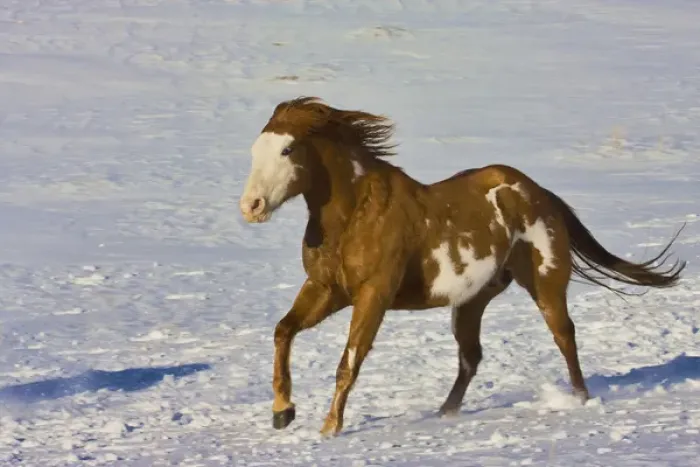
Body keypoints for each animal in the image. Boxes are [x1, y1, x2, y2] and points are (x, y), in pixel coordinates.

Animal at [238, 97, 686, 437]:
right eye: (254, 151)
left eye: (287, 150)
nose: (251, 206)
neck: (355, 216)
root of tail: (539, 193)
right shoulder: (326, 289)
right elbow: (283, 331)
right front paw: (282, 411)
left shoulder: (373, 294)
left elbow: (348, 361)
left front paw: (330, 427)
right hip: (472, 300)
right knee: (471, 356)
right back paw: (444, 413)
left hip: (544, 283)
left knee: (564, 336)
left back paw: (579, 399)